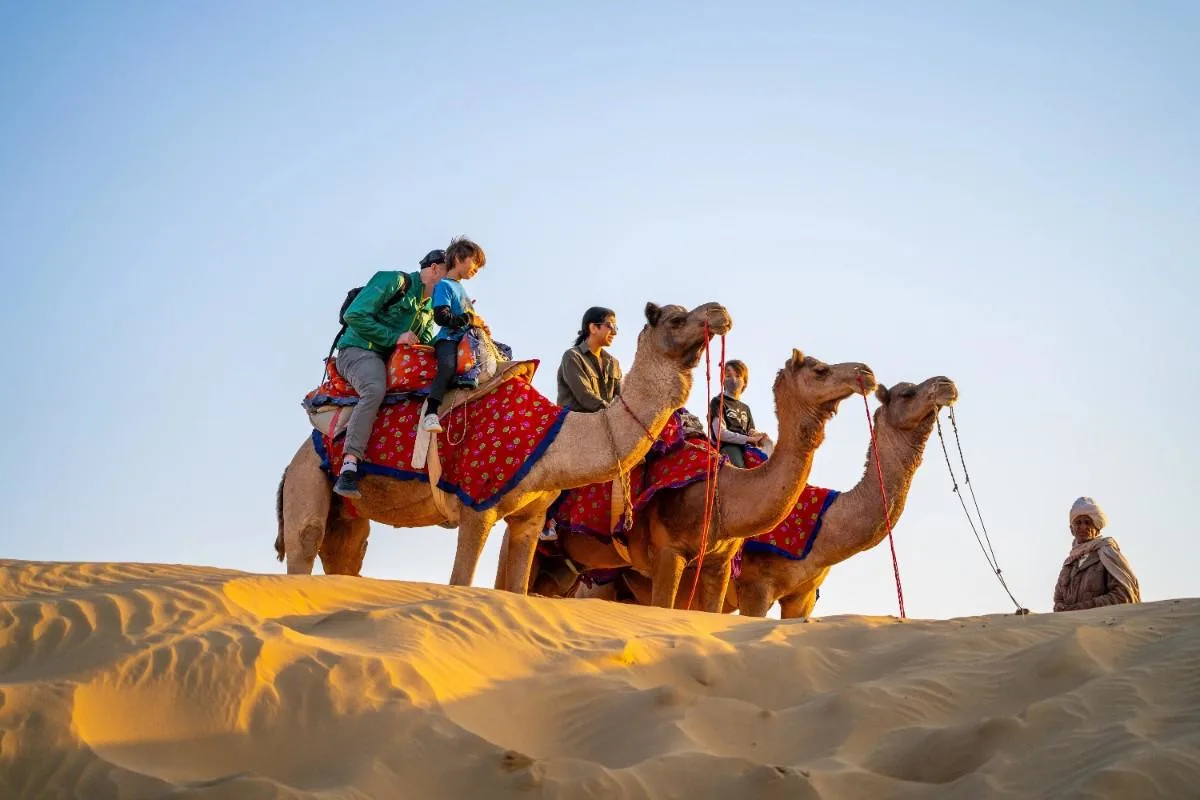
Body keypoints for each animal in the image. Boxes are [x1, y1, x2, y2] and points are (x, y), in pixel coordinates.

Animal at [274, 301, 733, 596]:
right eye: (676, 318)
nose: (720, 311)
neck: (554, 440)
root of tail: (291, 463)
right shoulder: (476, 504)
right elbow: (461, 582)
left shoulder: (530, 518)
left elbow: (516, 590)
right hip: (308, 479)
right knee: (304, 543)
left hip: (347, 517)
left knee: (345, 556)